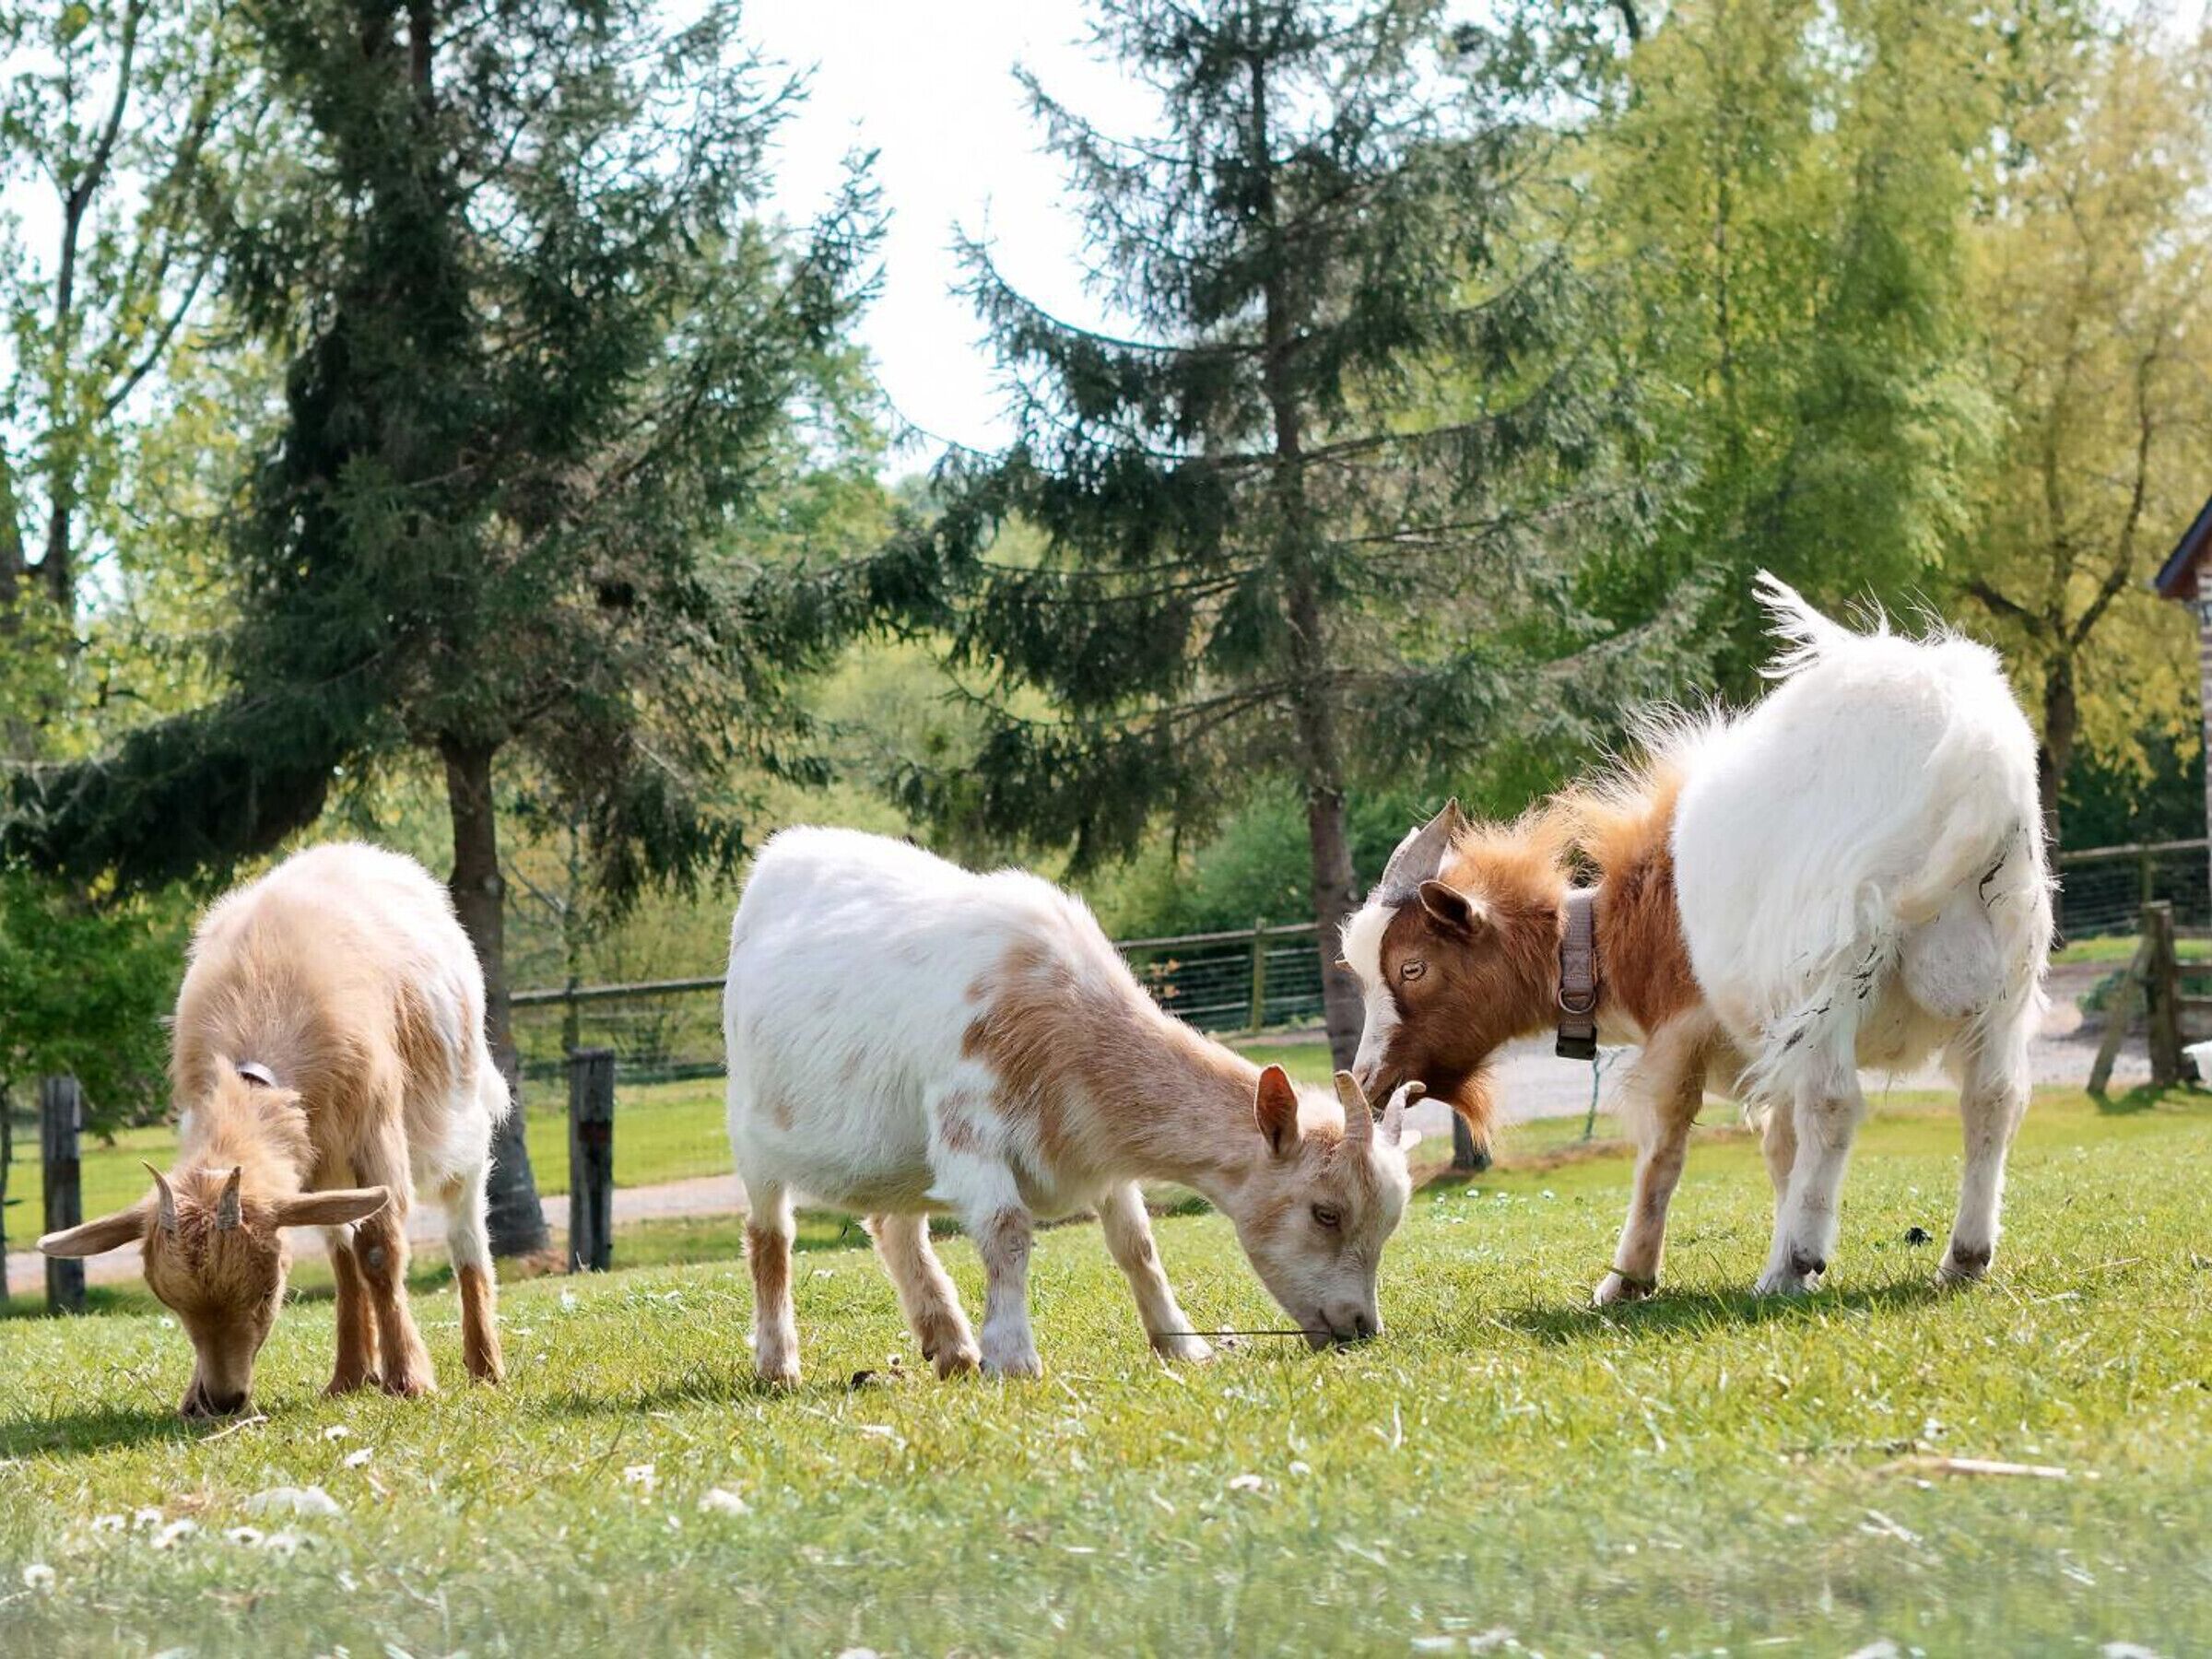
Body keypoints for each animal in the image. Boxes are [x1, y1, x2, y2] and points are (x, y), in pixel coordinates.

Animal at [39, 843, 509, 1416]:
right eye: (172, 1302)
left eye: (270, 1291)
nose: (224, 1399)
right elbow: (347, 1256)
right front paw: (193, 1395)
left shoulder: (375, 1131)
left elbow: (380, 1251)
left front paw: (409, 1378)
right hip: (325, 1168)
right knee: (341, 1253)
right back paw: (349, 1376)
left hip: (463, 1121)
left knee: (466, 1234)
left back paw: (485, 1367)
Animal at [721, 827, 1422, 1382]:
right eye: (1326, 1213)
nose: (1361, 1326)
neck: (1064, 1020)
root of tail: (782, 854)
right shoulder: (968, 1128)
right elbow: (1007, 1230)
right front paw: (1013, 1356)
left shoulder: (1095, 1149)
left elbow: (1136, 1243)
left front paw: (1180, 1343)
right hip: (751, 1134)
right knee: (769, 1237)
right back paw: (778, 1363)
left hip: (900, 1155)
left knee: (896, 1228)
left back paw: (948, 1345)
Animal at [1341, 576, 2050, 1300]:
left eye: (1413, 968)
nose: (1367, 1080)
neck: (1616, 931)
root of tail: (1972, 750)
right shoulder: (1767, 1050)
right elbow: (1780, 1148)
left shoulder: (1682, 1031)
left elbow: (1665, 1147)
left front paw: (1628, 1280)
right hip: (2005, 972)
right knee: (1993, 1098)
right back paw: (1963, 1255)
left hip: (1829, 966)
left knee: (1834, 1104)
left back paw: (1795, 1260)